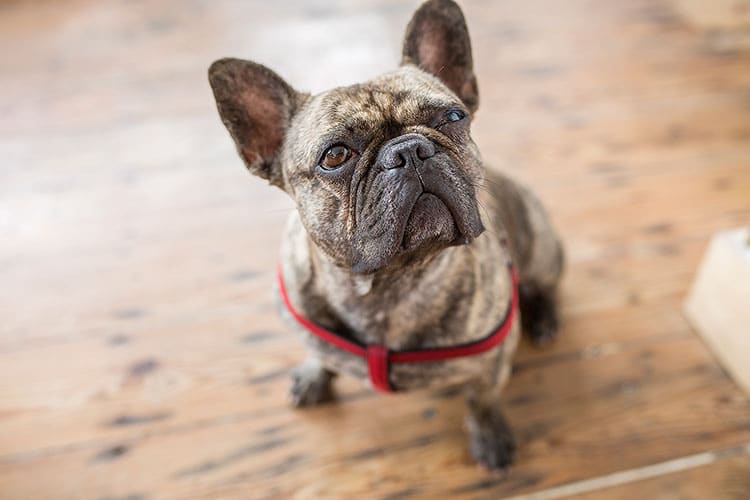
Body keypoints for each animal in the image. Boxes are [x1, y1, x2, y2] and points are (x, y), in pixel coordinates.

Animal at [210, 0, 564, 468]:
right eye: (334, 156)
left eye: (453, 117)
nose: (410, 150)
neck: (386, 282)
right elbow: (318, 352)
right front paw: (315, 374)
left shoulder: (491, 362)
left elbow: (482, 400)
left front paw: (490, 437)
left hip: (541, 247)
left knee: (545, 283)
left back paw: (544, 316)